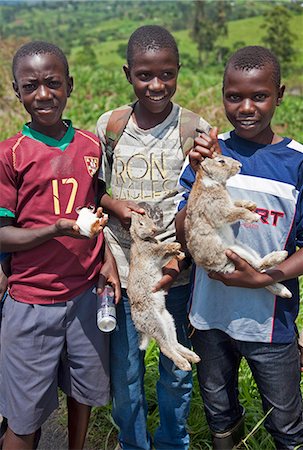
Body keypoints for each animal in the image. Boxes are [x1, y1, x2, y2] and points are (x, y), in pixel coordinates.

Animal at [128, 213, 202, 370]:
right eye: (141, 223)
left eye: (150, 219)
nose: (154, 229)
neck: (142, 239)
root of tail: (139, 325)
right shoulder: (151, 252)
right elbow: (161, 248)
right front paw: (175, 246)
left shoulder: (159, 259)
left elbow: (166, 256)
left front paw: (179, 254)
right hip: (155, 323)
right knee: (165, 348)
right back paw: (184, 364)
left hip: (168, 321)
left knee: (173, 344)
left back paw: (193, 357)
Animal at [185, 155, 292, 298]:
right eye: (221, 161)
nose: (240, 165)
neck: (210, 180)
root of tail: (211, 268)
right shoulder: (220, 211)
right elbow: (238, 212)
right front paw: (254, 217)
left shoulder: (230, 205)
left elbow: (238, 204)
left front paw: (251, 205)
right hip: (235, 251)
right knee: (258, 266)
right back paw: (281, 257)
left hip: (244, 248)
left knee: (260, 270)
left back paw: (284, 290)